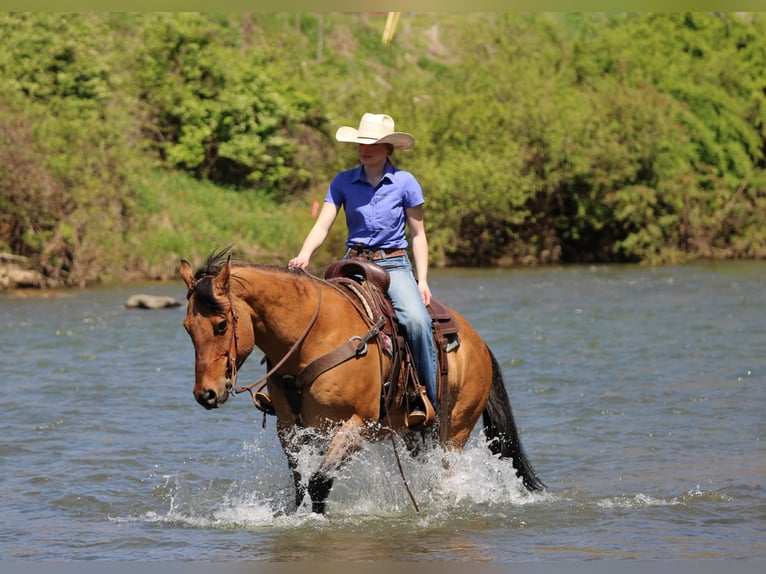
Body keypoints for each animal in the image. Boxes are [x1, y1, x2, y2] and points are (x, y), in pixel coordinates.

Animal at [180, 249, 544, 513]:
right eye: (187, 327)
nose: (206, 394)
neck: (313, 337)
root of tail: (478, 343)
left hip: (454, 431)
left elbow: (319, 481)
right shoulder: (290, 429)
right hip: (415, 435)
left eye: (221, 325)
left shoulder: (358, 424)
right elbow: (300, 484)